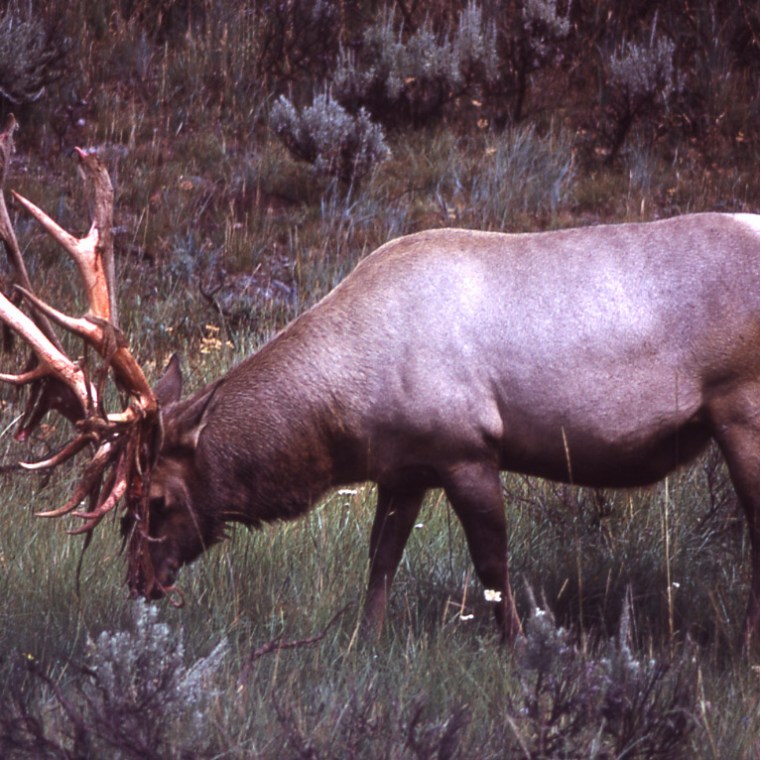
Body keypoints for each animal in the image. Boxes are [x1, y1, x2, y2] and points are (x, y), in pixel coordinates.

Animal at [3, 119, 760, 646]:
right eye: (122, 505)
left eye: (153, 500)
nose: (138, 581)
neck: (346, 416)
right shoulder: (404, 466)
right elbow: (380, 561)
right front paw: (363, 645)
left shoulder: (467, 448)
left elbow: (493, 569)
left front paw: (520, 650)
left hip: (740, 409)